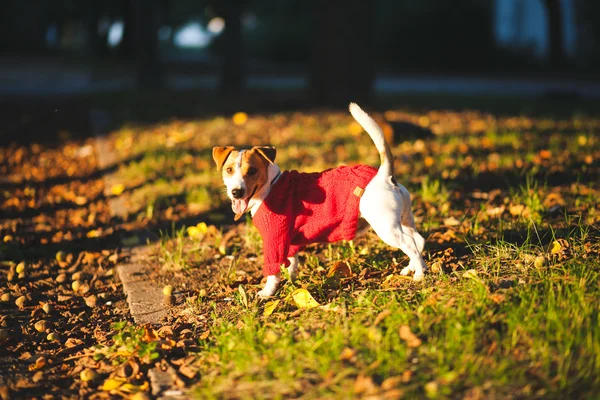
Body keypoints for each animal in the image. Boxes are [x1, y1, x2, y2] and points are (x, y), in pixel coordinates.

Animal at [213, 103, 424, 296]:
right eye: (229, 170)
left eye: (252, 171)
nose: (236, 192)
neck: (270, 186)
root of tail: (384, 176)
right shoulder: (290, 241)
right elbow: (292, 263)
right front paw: (292, 282)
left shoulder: (275, 240)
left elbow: (273, 271)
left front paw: (268, 292)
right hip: (403, 221)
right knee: (418, 240)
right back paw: (411, 267)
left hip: (386, 228)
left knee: (409, 244)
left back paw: (420, 274)